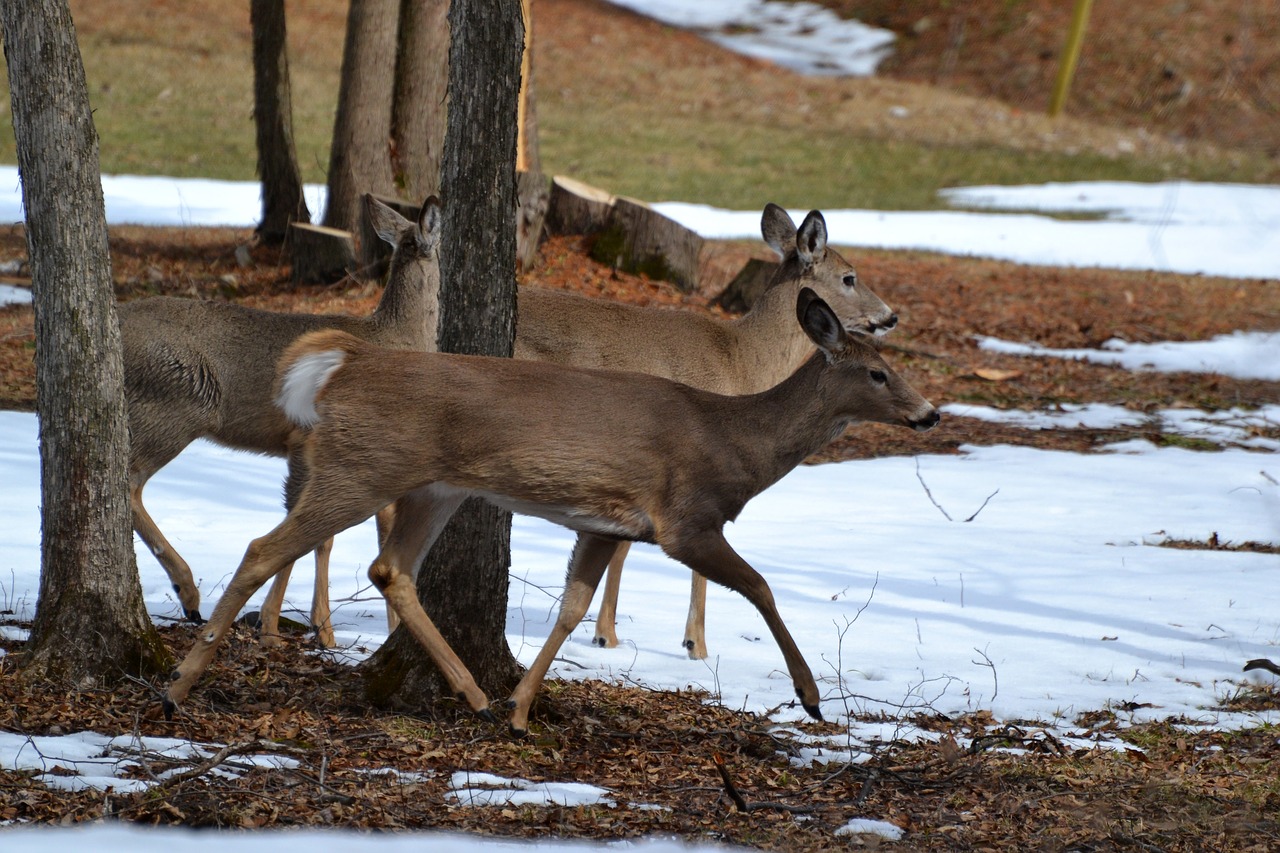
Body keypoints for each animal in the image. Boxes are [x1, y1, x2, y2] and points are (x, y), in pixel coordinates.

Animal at [123, 190, 445, 637]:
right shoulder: (312, 437)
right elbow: (315, 531)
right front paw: (297, 627)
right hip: (173, 406)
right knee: (128, 482)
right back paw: (188, 593)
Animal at [162, 281, 942, 732]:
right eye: (877, 372)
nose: (930, 414)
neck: (735, 441)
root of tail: (344, 362)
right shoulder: (685, 519)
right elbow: (761, 586)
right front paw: (811, 695)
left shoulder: (606, 523)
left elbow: (572, 608)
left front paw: (519, 708)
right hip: (363, 468)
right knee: (264, 548)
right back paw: (179, 685)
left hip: (434, 485)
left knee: (391, 570)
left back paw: (477, 698)